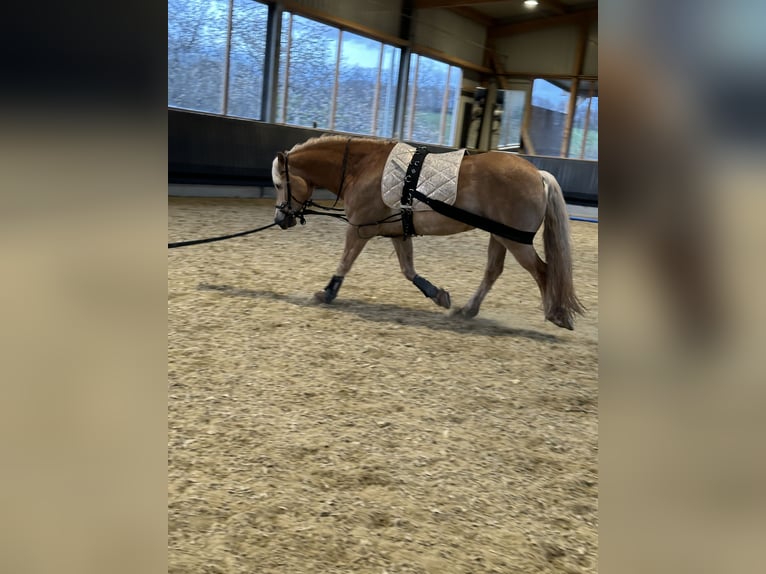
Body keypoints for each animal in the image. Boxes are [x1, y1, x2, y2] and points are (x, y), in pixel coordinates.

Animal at [272, 135, 584, 330]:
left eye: (278, 184)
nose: (280, 219)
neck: (362, 169)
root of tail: (538, 174)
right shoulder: (398, 233)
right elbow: (408, 270)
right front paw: (438, 295)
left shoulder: (358, 228)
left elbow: (345, 262)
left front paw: (326, 293)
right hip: (500, 237)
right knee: (493, 271)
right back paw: (468, 310)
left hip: (515, 240)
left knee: (543, 271)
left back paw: (554, 313)